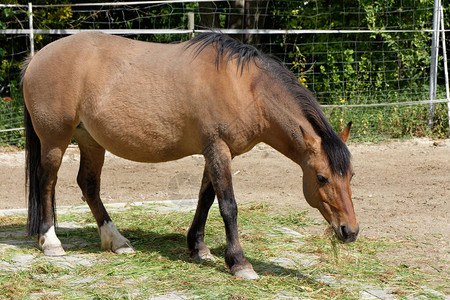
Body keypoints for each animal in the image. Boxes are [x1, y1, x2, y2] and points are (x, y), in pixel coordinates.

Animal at [22, 31, 358, 280]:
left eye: (351, 175)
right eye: (321, 177)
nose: (350, 231)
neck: (244, 87)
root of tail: (37, 57)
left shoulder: (216, 152)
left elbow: (206, 199)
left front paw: (198, 248)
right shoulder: (218, 149)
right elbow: (228, 206)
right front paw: (239, 263)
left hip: (90, 140)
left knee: (89, 185)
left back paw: (117, 241)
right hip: (55, 139)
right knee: (47, 182)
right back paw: (51, 242)